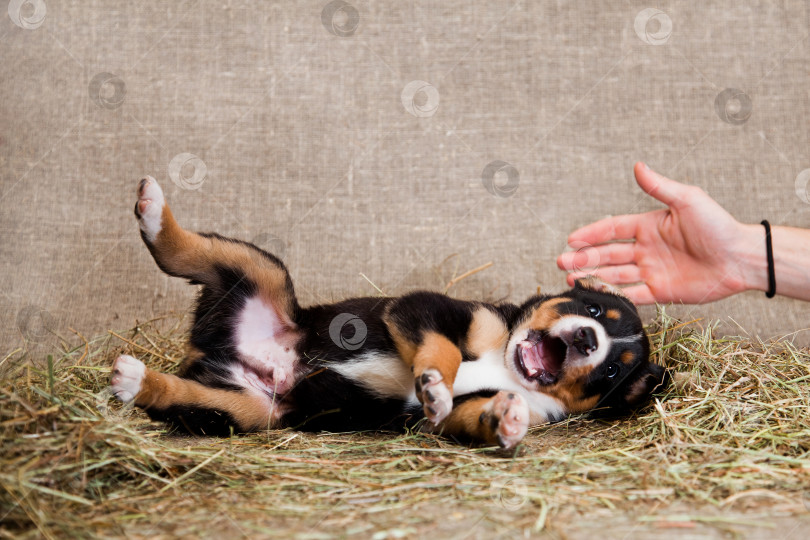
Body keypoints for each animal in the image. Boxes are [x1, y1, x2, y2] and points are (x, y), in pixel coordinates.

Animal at [110, 177, 664, 448]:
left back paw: (134, 380)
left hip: (246, 408)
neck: (507, 366)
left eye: (611, 372)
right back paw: (153, 210)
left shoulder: (456, 418)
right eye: (593, 307)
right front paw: (435, 384)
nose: (588, 340)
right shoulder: (427, 309)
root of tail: (210, 351)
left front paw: (507, 421)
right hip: (257, 272)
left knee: (183, 396)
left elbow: (467, 416)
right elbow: (442, 351)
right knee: (189, 251)